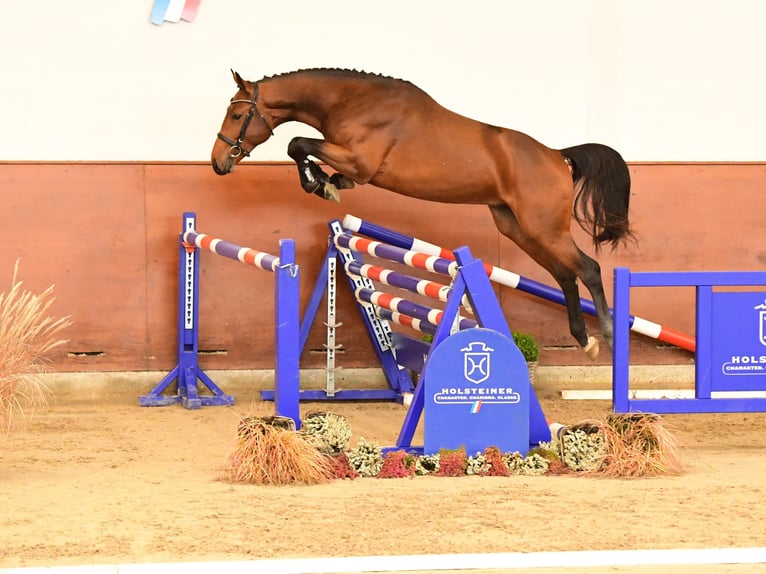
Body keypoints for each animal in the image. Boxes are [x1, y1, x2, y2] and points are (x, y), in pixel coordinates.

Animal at [211, 68, 633, 359]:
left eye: (237, 116)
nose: (217, 163)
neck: (352, 102)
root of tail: (557, 156)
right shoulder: (354, 164)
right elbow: (306, 153)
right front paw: (326, 182)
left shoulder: (359, 161)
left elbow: (297, 144)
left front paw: (320, 184)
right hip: (520, 228)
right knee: (565, 275)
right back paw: (584, 339)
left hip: (543, 228)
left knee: (588, 269)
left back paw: (608, 337)